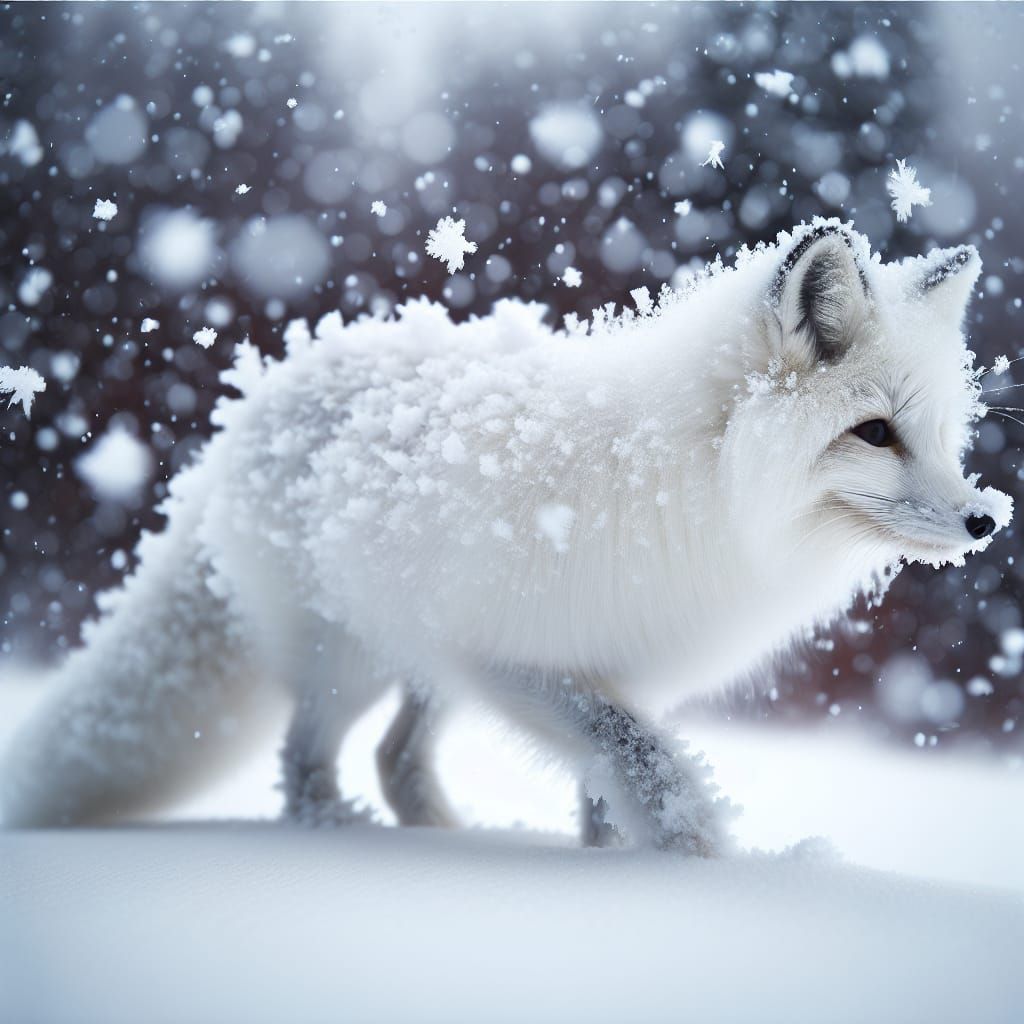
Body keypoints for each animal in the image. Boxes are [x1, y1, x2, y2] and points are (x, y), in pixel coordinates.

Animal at [1, 219, 1011, 854]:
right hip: (353, 658)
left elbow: (610, 786)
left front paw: (620, 868)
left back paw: (453, 841)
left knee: (396, 760)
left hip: (417, 667)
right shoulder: (518, 659)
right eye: (874, 433)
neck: (690, 487)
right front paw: (694, 849)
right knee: (306, 764)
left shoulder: (610, 667)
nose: (987, 519)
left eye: (944, 435)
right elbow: (641, 757)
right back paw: (340, 838)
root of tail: (252, 405)